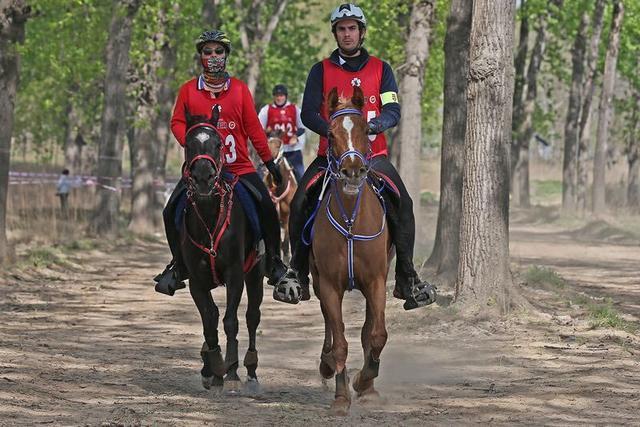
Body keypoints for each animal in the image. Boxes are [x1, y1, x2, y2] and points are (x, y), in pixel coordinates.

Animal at [182, 109, 264, 394]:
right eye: (188, 144)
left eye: (218, 144)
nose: (203, 178)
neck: (209, 216)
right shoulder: (196, 281)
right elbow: (209, 321)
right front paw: (214, 369)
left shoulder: (235, 274)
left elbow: (230, 320)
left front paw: (231, 371)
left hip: (255, 273)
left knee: (252, 317)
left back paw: (250, 370)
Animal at [308, 85, 392, 416]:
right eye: (330, 134)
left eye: (366, 130)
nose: (353, 171)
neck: (351, 220)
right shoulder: (330, 285)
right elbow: (340, 341)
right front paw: (341, 396)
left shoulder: (377, 281)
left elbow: (377, 335)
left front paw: (364, 381)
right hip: (318, 283)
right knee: (331, 328)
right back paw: (326, 364)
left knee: (368, 329)